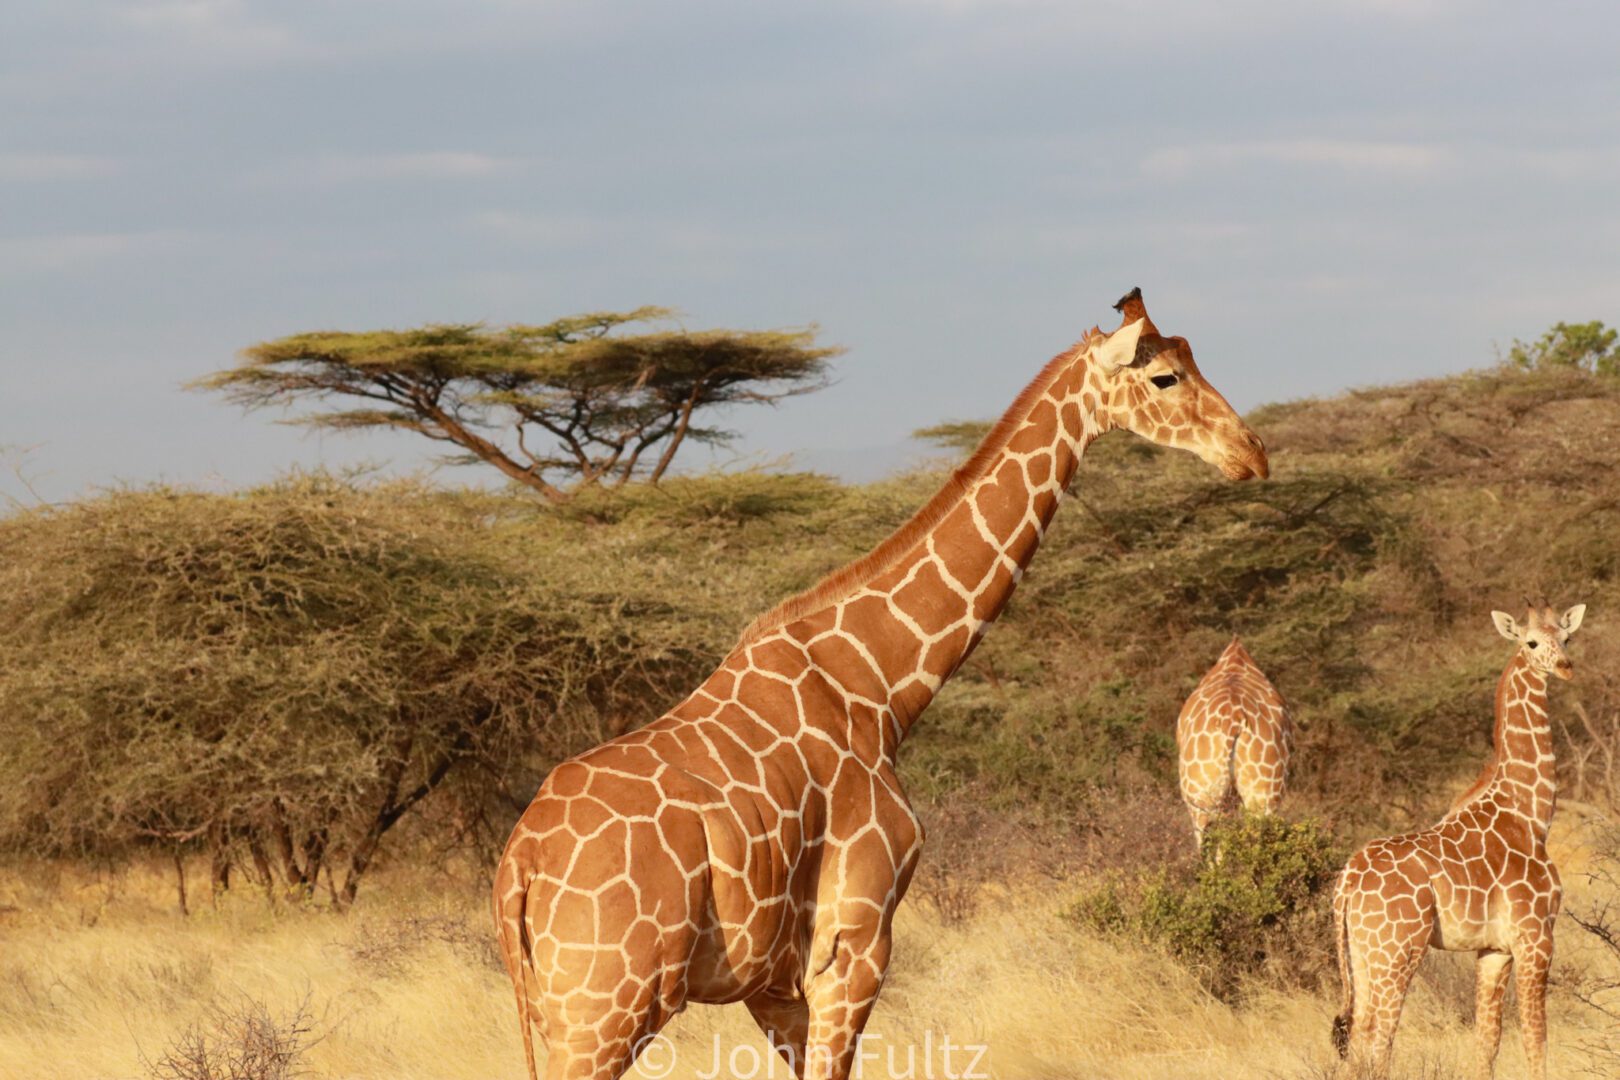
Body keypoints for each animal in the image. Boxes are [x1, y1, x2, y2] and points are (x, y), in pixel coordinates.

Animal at [486, 289, 1270, 1080]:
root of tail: (519, 867)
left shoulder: (774, 985)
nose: (1253, 454)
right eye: (1166, 377)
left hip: (557, 1009)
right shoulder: (855, 944)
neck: (879, 689)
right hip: (606, 1006)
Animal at [1334, 605, 1587, 1075]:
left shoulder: (1493, 949)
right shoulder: (1535, 936)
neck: (1532, 812)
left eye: (1566, 638)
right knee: (1379, 1041)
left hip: (1360, 952)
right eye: (1531, 642)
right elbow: (1536, 1038)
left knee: (1357, 1037)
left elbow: (1488, 1041)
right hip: (1397, 950)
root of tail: (1346, 883)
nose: (1565, 666)